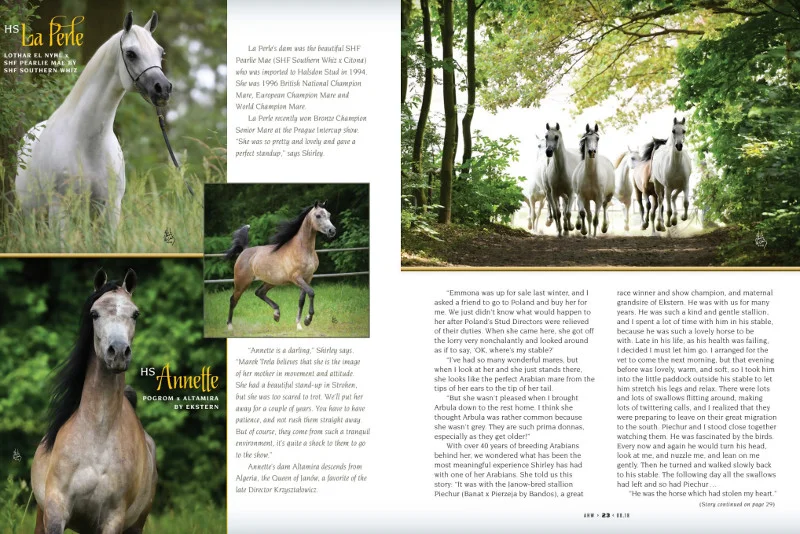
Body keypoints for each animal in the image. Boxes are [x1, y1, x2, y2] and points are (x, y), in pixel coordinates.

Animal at [15, 11, 172, 241]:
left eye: (161, 52)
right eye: (131, 53)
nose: (163, 89)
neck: (88, 144)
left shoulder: (110, 208)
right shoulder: (60, 208)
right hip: (32, 214)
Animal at [32, 269, 157, 534]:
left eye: (135, 313)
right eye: (94, 313)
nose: (118, 352)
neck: (97, 434)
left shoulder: (113, 519)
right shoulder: (56, 509)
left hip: (134, 525)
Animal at [225, 202, 337, 332]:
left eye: (329, 215)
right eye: (318, 216)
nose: (332, 230)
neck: (302, 249)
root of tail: (245, 250)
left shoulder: (307, 278)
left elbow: (301, 300)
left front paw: (299, 325)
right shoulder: (296, 278)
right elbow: (311, 292)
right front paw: (307, 320)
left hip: (271, 282)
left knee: (259, 293)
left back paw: (277, 314)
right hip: (241, 282)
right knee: (233, 299)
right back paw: (230, 326)